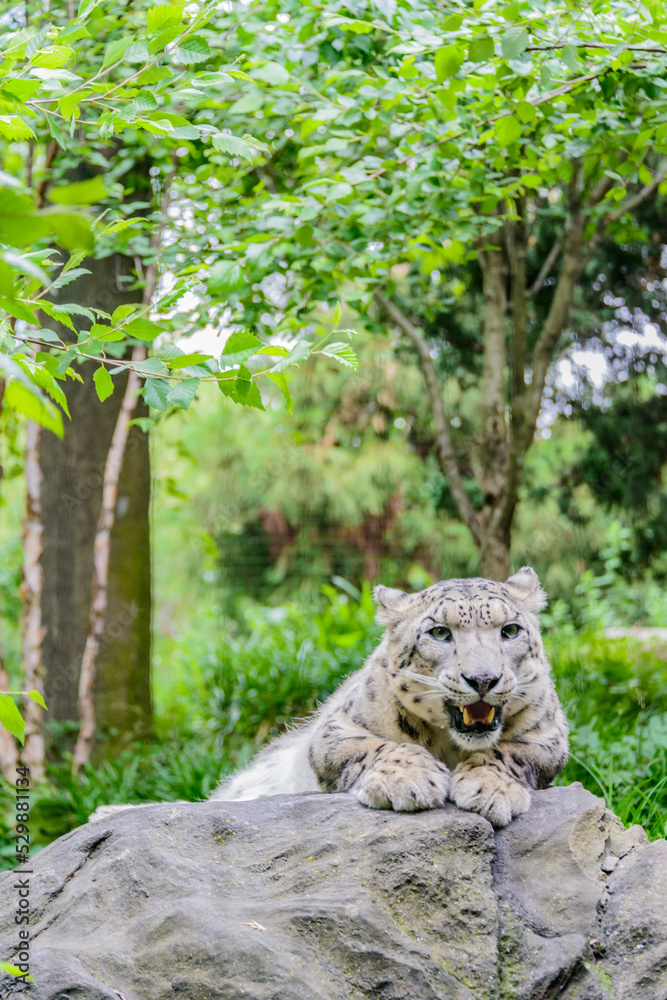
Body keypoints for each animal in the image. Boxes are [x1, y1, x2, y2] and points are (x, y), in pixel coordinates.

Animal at [210, 566, 569, 828]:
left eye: (510, 630)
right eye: (440, 632)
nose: (483, 679)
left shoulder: (549, 735)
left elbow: (509, 752)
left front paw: (490, 788)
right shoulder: (335, 729)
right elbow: (378, 745)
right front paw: (410, 780)